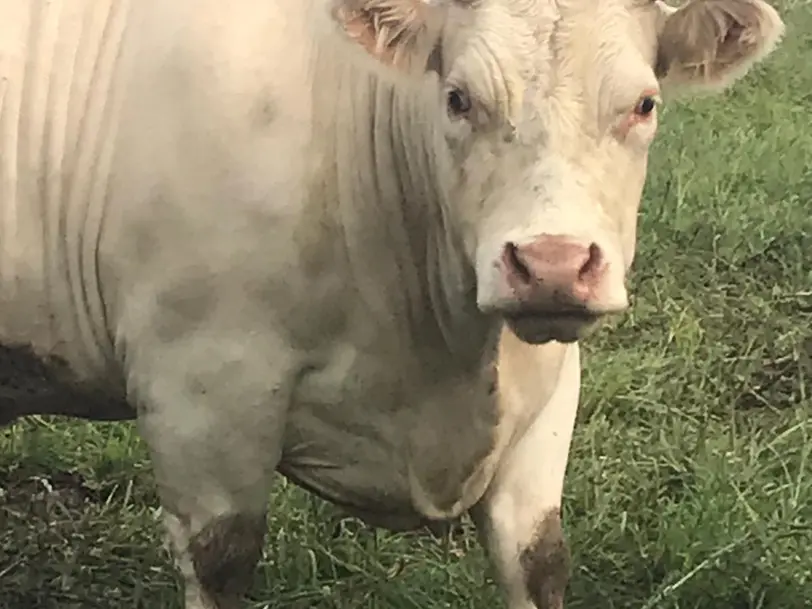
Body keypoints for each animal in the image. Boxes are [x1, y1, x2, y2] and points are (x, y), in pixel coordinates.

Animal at [0, 1, 784, 608]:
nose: (552, 265)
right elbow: (221, 559)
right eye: (458, 98)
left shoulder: (549, 394)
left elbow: (538, 559)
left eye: (644, 103)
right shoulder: (198, 392)